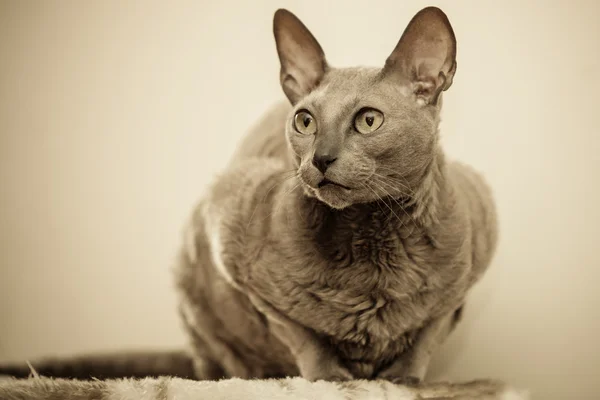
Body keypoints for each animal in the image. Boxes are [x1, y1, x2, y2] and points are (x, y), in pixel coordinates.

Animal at [1, 4, 496, 382]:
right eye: (305, 121)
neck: (373, 238)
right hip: (191, 284)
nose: (320, 159)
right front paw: (330, 378)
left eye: (368, 120)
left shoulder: (466, 275)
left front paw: (403, 380)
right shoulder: (229, 242)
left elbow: (426, 333)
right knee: (219, 362)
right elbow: (301, 333)